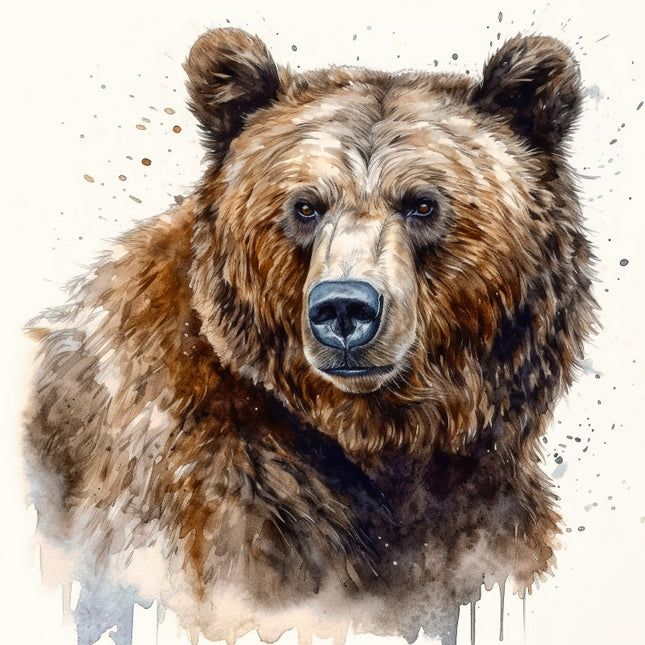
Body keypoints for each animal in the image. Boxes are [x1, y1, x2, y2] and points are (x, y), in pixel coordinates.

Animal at [24, 28, 595, 645]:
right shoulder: (209, 499)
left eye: (423, 204)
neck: (378, 437)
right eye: (304, 206)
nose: (344, 307)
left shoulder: (477, 510)